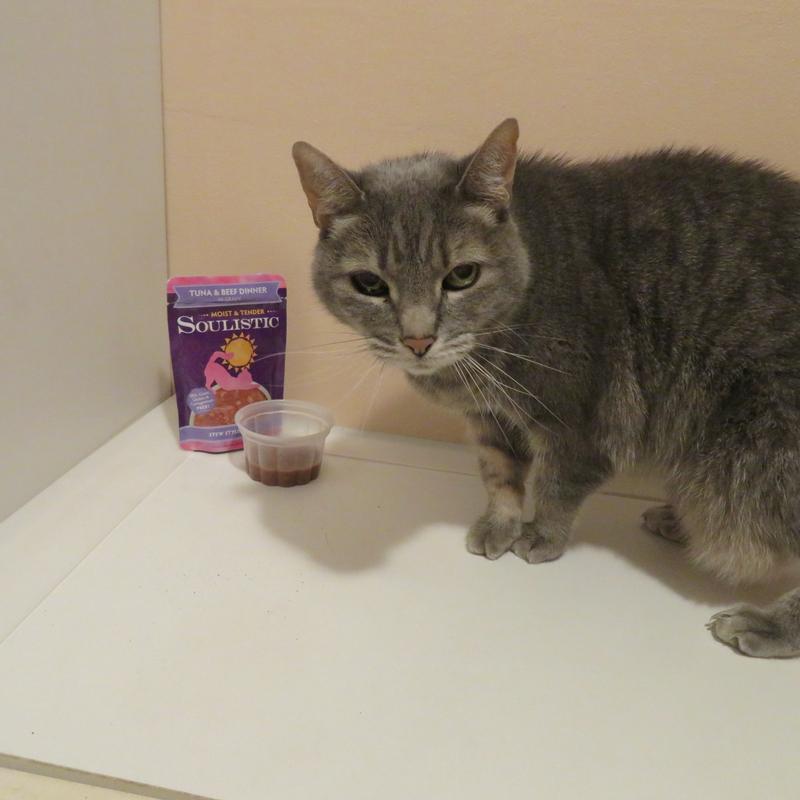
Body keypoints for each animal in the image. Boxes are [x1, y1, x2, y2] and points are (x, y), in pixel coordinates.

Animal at [292, 118, 800, 658]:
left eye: (462, 275)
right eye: (369, 284)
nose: (418, 340)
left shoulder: (580, 422)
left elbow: (556, 483)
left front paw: (542, 536)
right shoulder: (490, 419)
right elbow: (499, 474)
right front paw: (500, 524)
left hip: (753, 461)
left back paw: (768, 623)